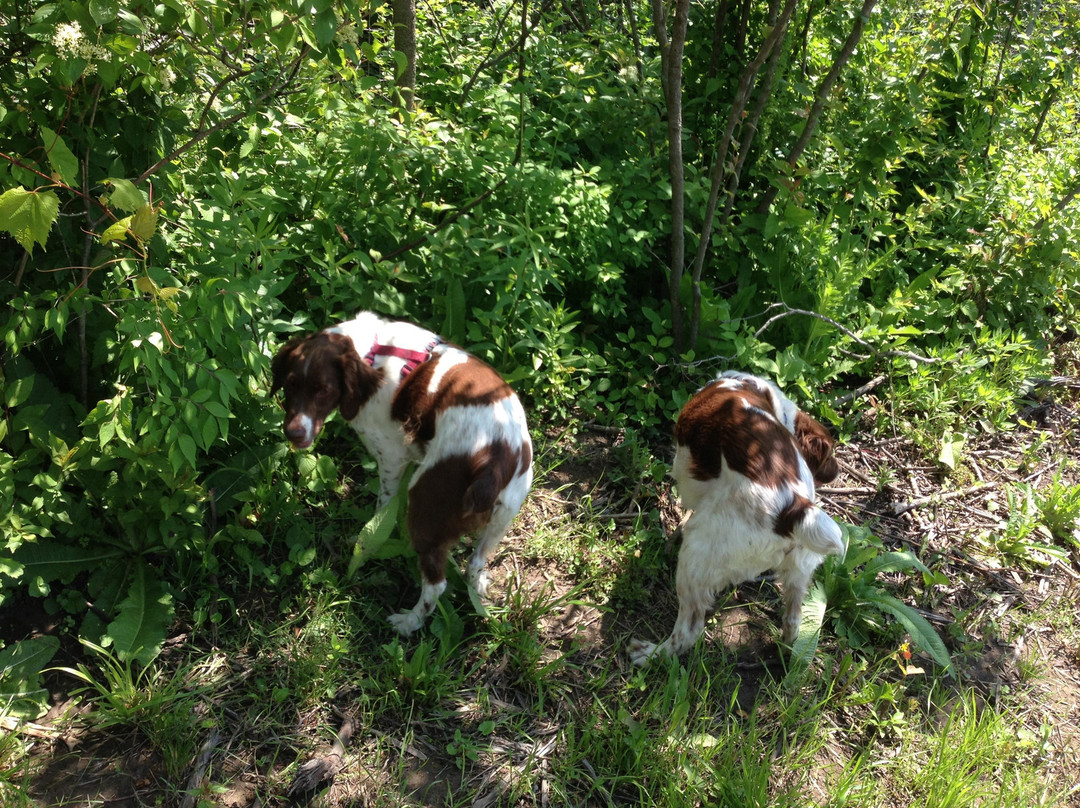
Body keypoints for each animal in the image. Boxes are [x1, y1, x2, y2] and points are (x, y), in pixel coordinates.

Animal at [272, 313, 533, 635]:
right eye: (290, 384)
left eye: (324, 389)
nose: (293, 433)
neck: (370, 353)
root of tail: (494, 459)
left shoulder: (391, 457)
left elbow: (381, 508)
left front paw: (367, 539)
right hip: (503, 516)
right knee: (475, 563)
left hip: (424, 504)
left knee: (436, 585)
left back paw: (408, 622)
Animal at [630, 371, 846, 661]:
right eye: (831, 453)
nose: (837, 471)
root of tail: (792, 507)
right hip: (799, 569)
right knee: (793, 620)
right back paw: (784, 653)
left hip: (696, 556)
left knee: (688, 631)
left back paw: (650, 654)